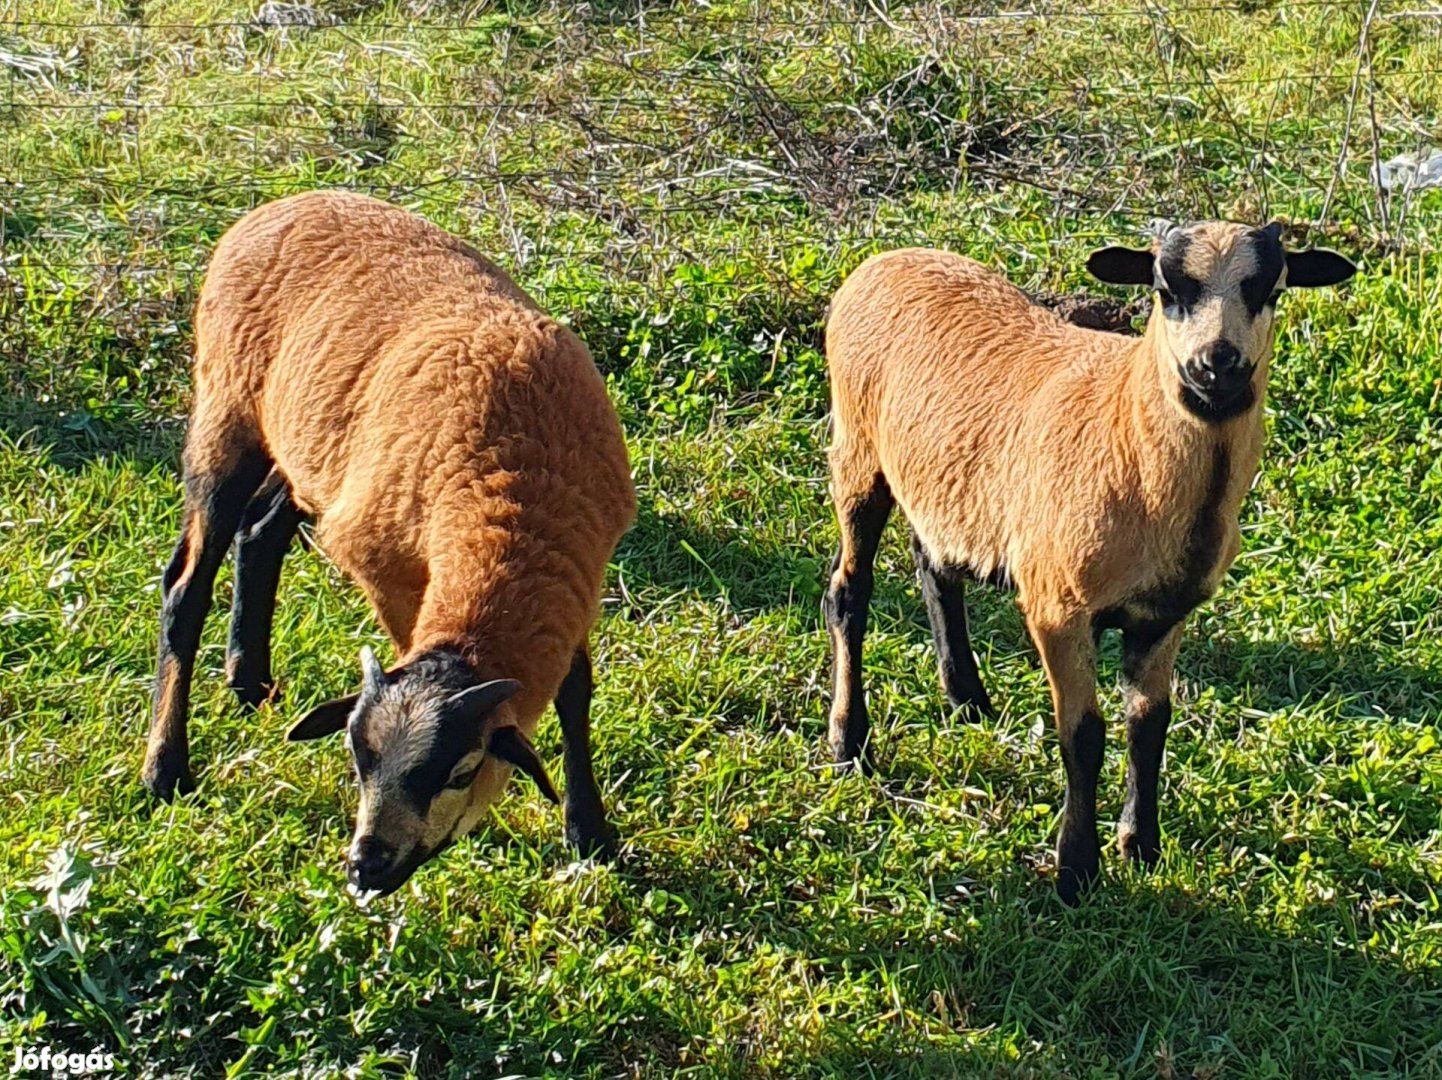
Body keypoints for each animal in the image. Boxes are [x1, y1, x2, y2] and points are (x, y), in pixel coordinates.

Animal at [146, 187, 637, 893]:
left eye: (460, 771)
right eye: (358, 762)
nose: (364, 868)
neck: (508, 501)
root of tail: (273, 206)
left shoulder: (577, 578)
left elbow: (575, 692)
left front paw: (589, 832)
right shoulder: (385, 564)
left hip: (306, 450)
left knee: (259, 534)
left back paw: (249, 681)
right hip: (224, 415)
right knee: (184, 588)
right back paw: (165, 769)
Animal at [824, 220, 1349, 899]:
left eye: (1272, 291)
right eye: (1164, 289)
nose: (1217, 364)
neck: (1129, 434)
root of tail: (884, 260)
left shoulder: (1162, 615)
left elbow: (1150, 725)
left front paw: (1140, 845)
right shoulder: (1058, 607)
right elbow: (1084, 735)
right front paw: (1077, 869)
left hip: (945, 486)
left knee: (933, 564)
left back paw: (967, 699)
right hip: (858, 454)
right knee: (848, 595)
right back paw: (849, 741)